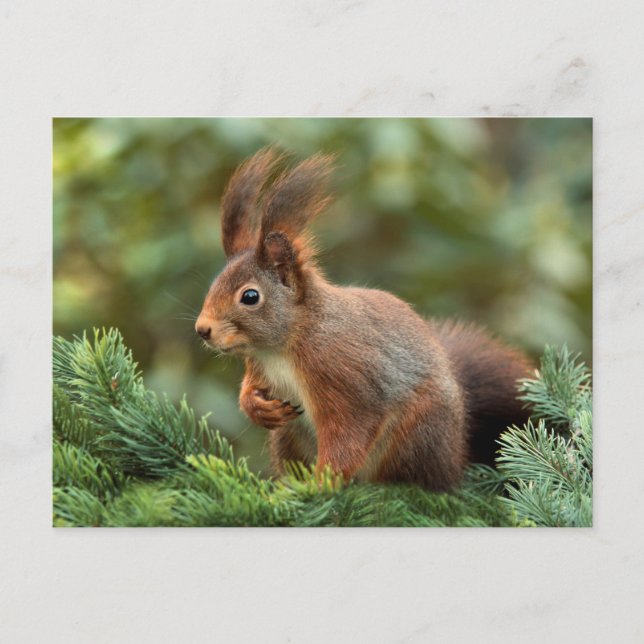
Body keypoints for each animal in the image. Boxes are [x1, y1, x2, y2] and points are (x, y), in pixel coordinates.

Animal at [195, 149, 532, 491]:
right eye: (214, 283)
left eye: (250, 297)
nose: (202, 330)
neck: (283, 346)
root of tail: (455, 457)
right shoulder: (259, 366)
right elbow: (250, 389)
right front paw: (257, 407)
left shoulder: (344, 377)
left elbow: (348, 434)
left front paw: (321, 484)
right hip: (289, 436)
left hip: (416, 432)